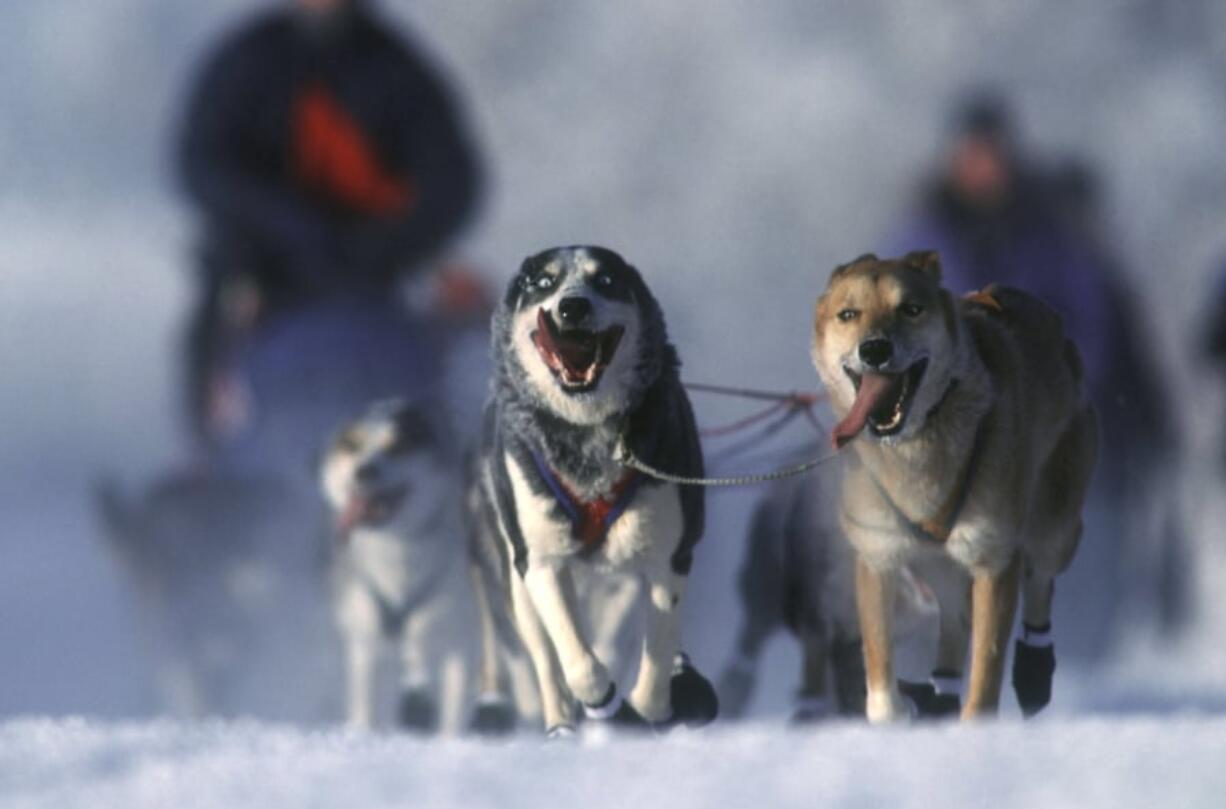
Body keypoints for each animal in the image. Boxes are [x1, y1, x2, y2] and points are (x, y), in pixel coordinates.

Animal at [468, 243, 715, 735]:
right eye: (542, 282)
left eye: (605, 280)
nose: (572, 306)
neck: (587, 437)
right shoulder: (541, 562)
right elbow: (577, 662)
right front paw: (601, 699)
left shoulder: (668, 558)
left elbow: (656, 655)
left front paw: (648, 708)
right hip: (516, 583)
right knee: (547, 660)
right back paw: (563, 724)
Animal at [809, 251, 1098, 720]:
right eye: (848, 314)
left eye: (911, 309)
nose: (874, 348)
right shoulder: (878, 555)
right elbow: (881, 684)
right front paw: (897, 710)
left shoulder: (993, 559)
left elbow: (985, 673)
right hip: (939, 566)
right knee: (954, 620)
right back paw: (939, 696)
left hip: (1054, 526)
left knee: (1041, 578)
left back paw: (1034, 669)